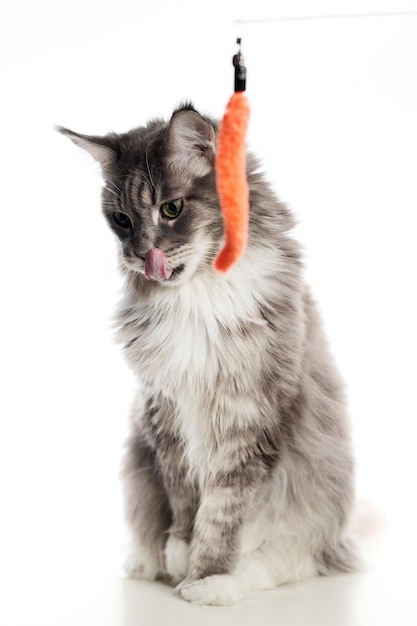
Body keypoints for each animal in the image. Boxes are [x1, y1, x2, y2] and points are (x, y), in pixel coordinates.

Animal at [60, 103, 356, 604]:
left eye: (171, 208)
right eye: (121, 220)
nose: (140, 255)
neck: (195, 298)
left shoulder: (250, 419)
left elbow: (221, 513)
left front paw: (204, 576)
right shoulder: (165, 412)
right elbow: (183, 498)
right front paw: (179, 556)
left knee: (284, 561)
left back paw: (221, 586)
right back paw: (147, 562)